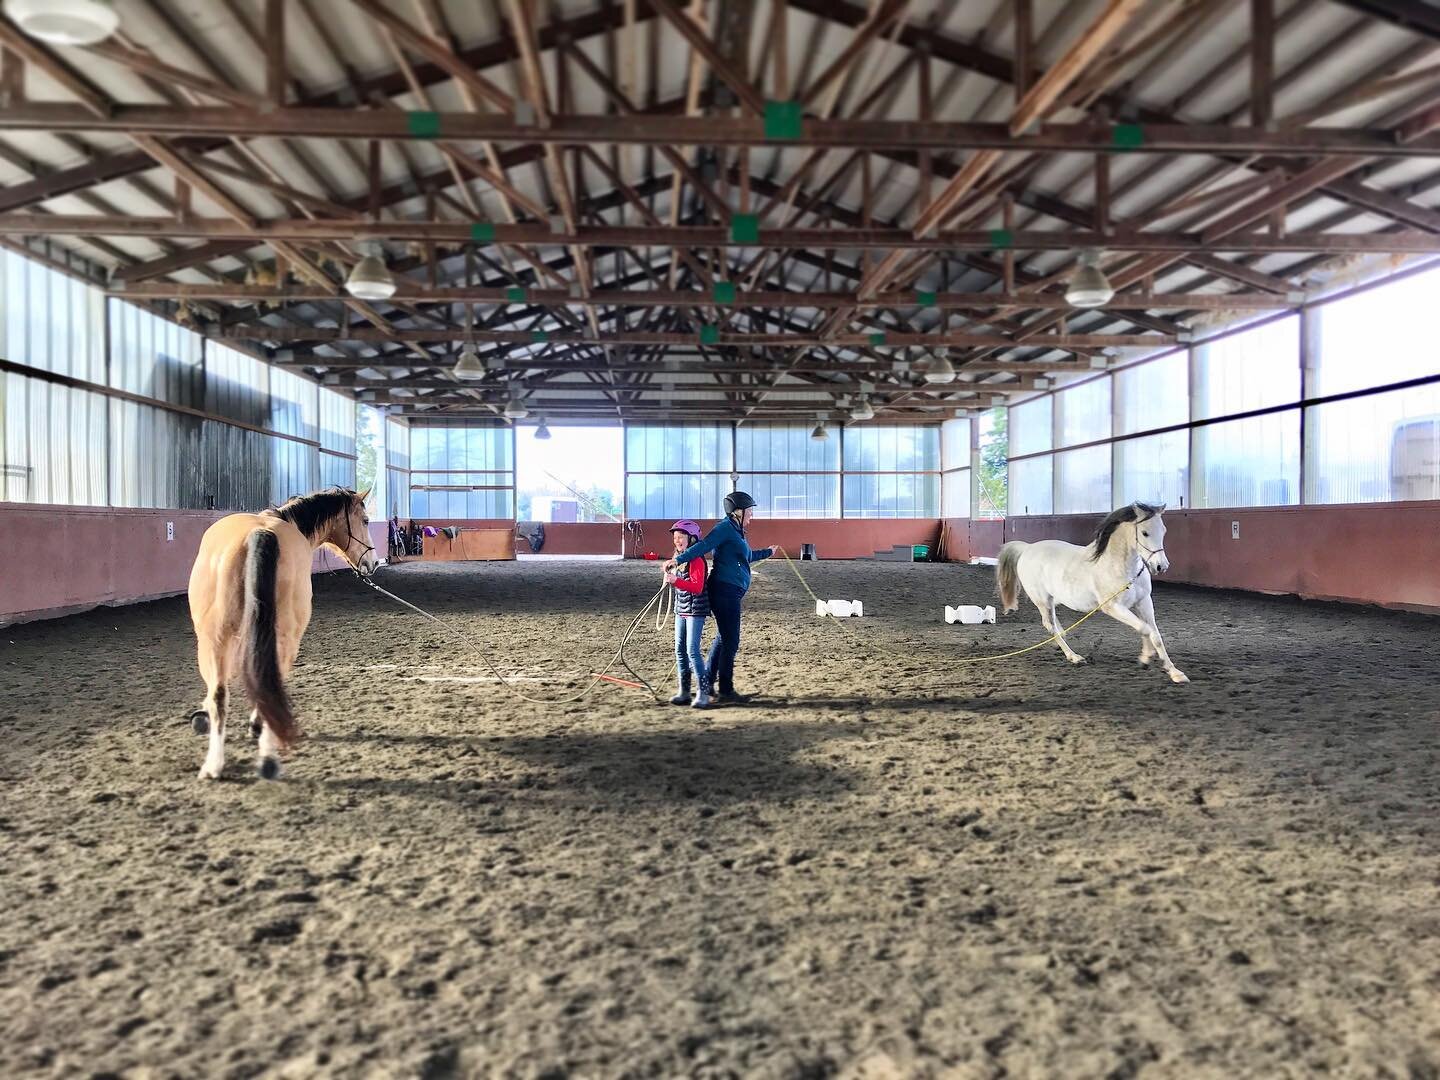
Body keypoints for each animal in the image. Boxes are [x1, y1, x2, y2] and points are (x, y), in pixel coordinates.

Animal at [996, 501, 1186, 685]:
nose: (1161, 566)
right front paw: (1145, 658)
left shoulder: (1144, 601)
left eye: (1163, 530)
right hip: (1042, 601)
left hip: (1052, 599)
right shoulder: (1112, 607)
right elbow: (1145, 629)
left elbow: (1155, 635)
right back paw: (1074, 657)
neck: (1121, 567)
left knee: (1054, 623)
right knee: (1049, 624)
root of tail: (1027, 548)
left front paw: (1175, 673)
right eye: (1145, 533)